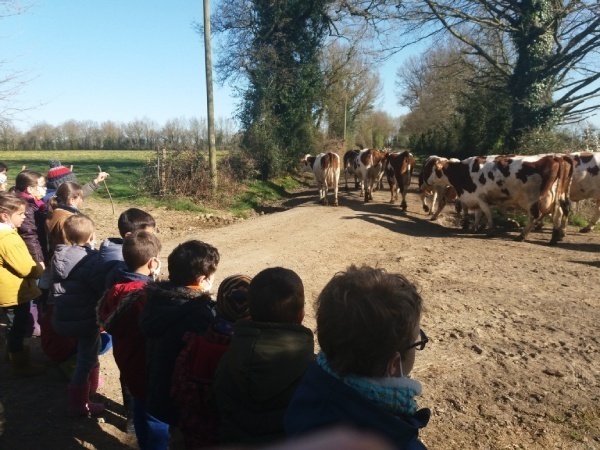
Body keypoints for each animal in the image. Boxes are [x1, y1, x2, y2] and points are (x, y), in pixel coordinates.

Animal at [424, 154, 576, 244]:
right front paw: (475, 227)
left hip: (535, 199)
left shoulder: (480, 197)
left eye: (435, 170)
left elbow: (487, 213)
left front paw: (490, 229)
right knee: (562, 211)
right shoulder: (475, 198)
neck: (464, 171)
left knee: (536, 215)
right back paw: (557, 236)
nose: (428, 180)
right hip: (560, 196)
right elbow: (479, 214)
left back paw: (522, 235)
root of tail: (555, 157)